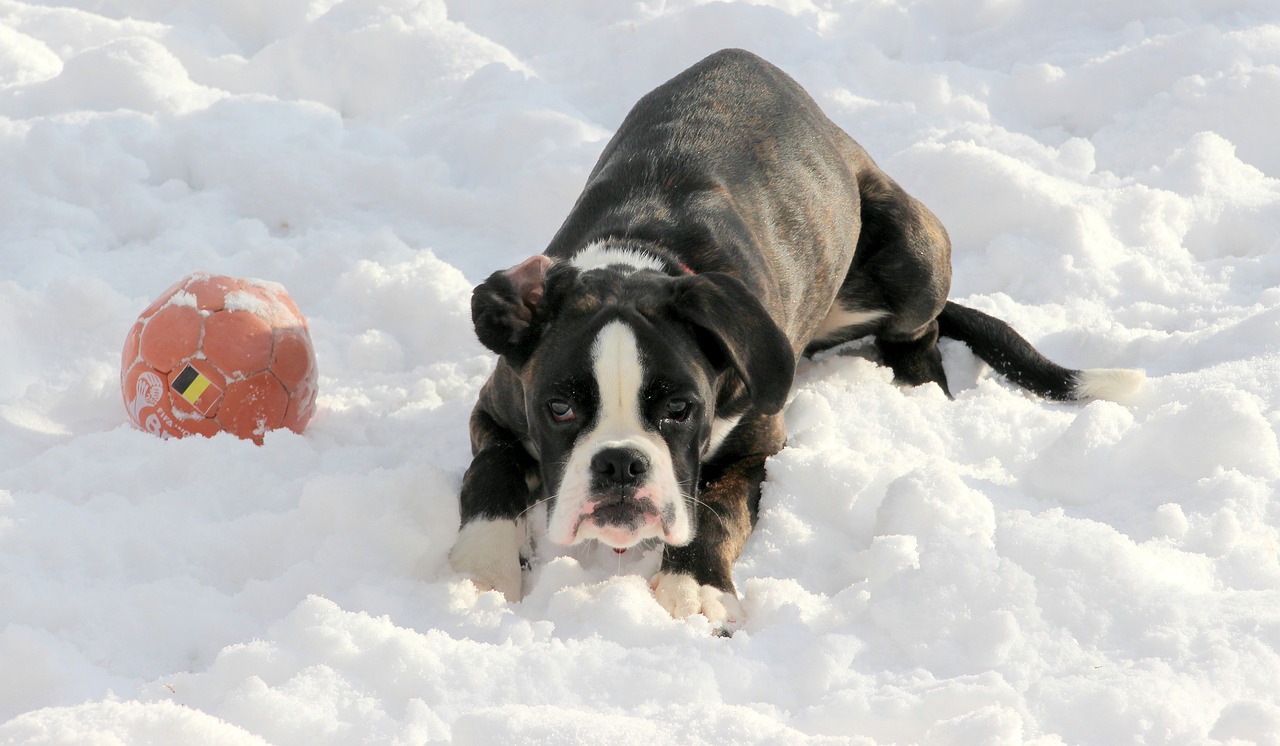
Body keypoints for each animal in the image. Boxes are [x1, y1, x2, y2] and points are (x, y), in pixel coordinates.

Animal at [448, 48, 1141, 629]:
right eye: (559, 408)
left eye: (681, 409)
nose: (620, 464)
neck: (639, 258)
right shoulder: (495, 413)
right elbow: (490, 475)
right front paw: (483, 566)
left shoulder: (756, 449)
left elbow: (715, 513)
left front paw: (694, 589)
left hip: (914, 248)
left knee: (921, 334)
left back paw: (910, 397)